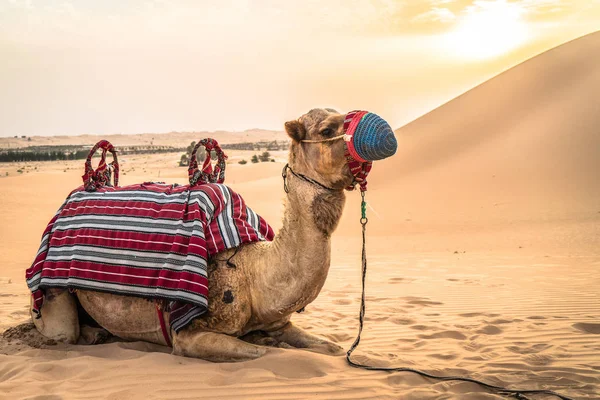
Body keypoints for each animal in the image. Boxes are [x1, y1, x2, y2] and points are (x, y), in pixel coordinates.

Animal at [29, 108, 380, 360]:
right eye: (327, 130)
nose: (372, 134)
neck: (254, 274)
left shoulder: (281, 321)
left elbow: (332, 348)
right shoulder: (188, 335)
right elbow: (264, 353)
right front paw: (266, 344)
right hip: (54, 289)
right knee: (59, 332)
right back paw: (93, 335)